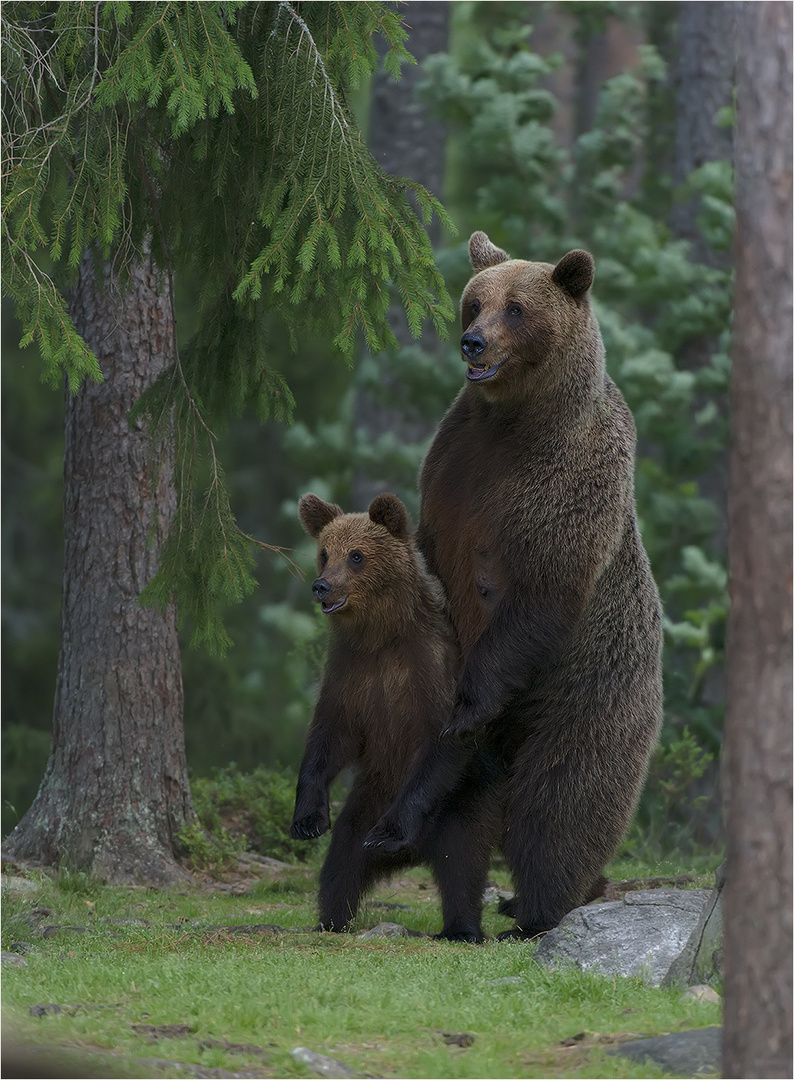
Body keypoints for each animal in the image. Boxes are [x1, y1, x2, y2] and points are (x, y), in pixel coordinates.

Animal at [367, 234, 665, 937]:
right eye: (474, 301)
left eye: (517, 308)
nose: (473, 342)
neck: (515, 422)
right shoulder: (452, 472)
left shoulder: (569, 488)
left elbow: (539, 595)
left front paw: (471, 705)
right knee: (456, 793)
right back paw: (407, 833)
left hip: (587, 700)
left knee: (558, 806)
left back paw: (536, 909)